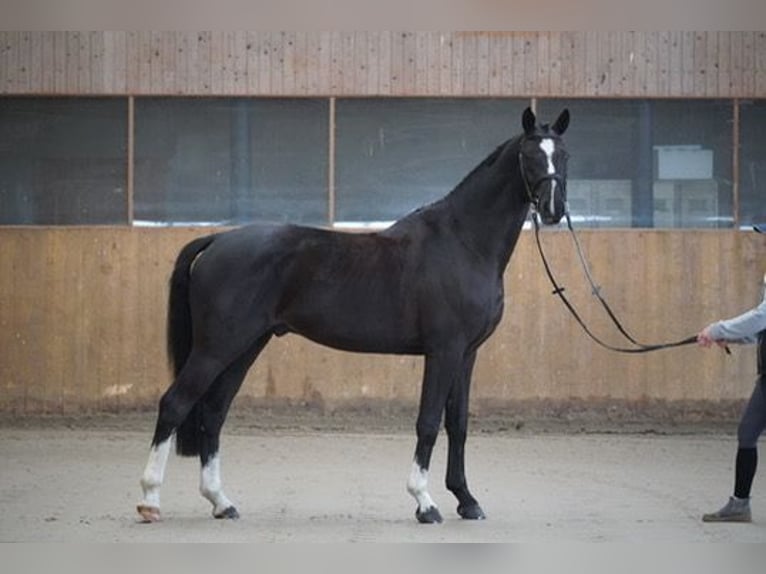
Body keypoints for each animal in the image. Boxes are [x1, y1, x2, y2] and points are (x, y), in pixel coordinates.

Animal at [138, 107, 568, 528]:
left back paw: (221, 502)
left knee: (213, 412)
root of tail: (217, 240)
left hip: (244, 347)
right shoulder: (443, 350)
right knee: (175, 404)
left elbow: (457, 423)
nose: (554, 210)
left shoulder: (466, 353)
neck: (463, 242)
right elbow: (428, 421)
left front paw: (466, 500)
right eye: (530, 155)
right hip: (215, 347)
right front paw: (424, 503)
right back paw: (150, 501)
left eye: (562, 155)